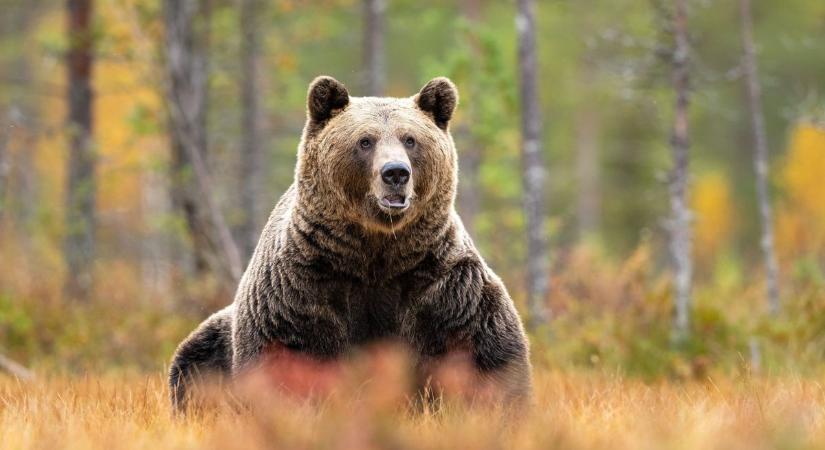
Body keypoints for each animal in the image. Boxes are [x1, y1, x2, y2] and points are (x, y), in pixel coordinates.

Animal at [170, 76, 532, 412]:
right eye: (365, 141)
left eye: (410, 139)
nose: (396, 173)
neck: (375, 253)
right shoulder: (301, 289)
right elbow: (286, 358)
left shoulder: (441, 285)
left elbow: (484, 352)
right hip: (215, 339)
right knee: (193, 364)